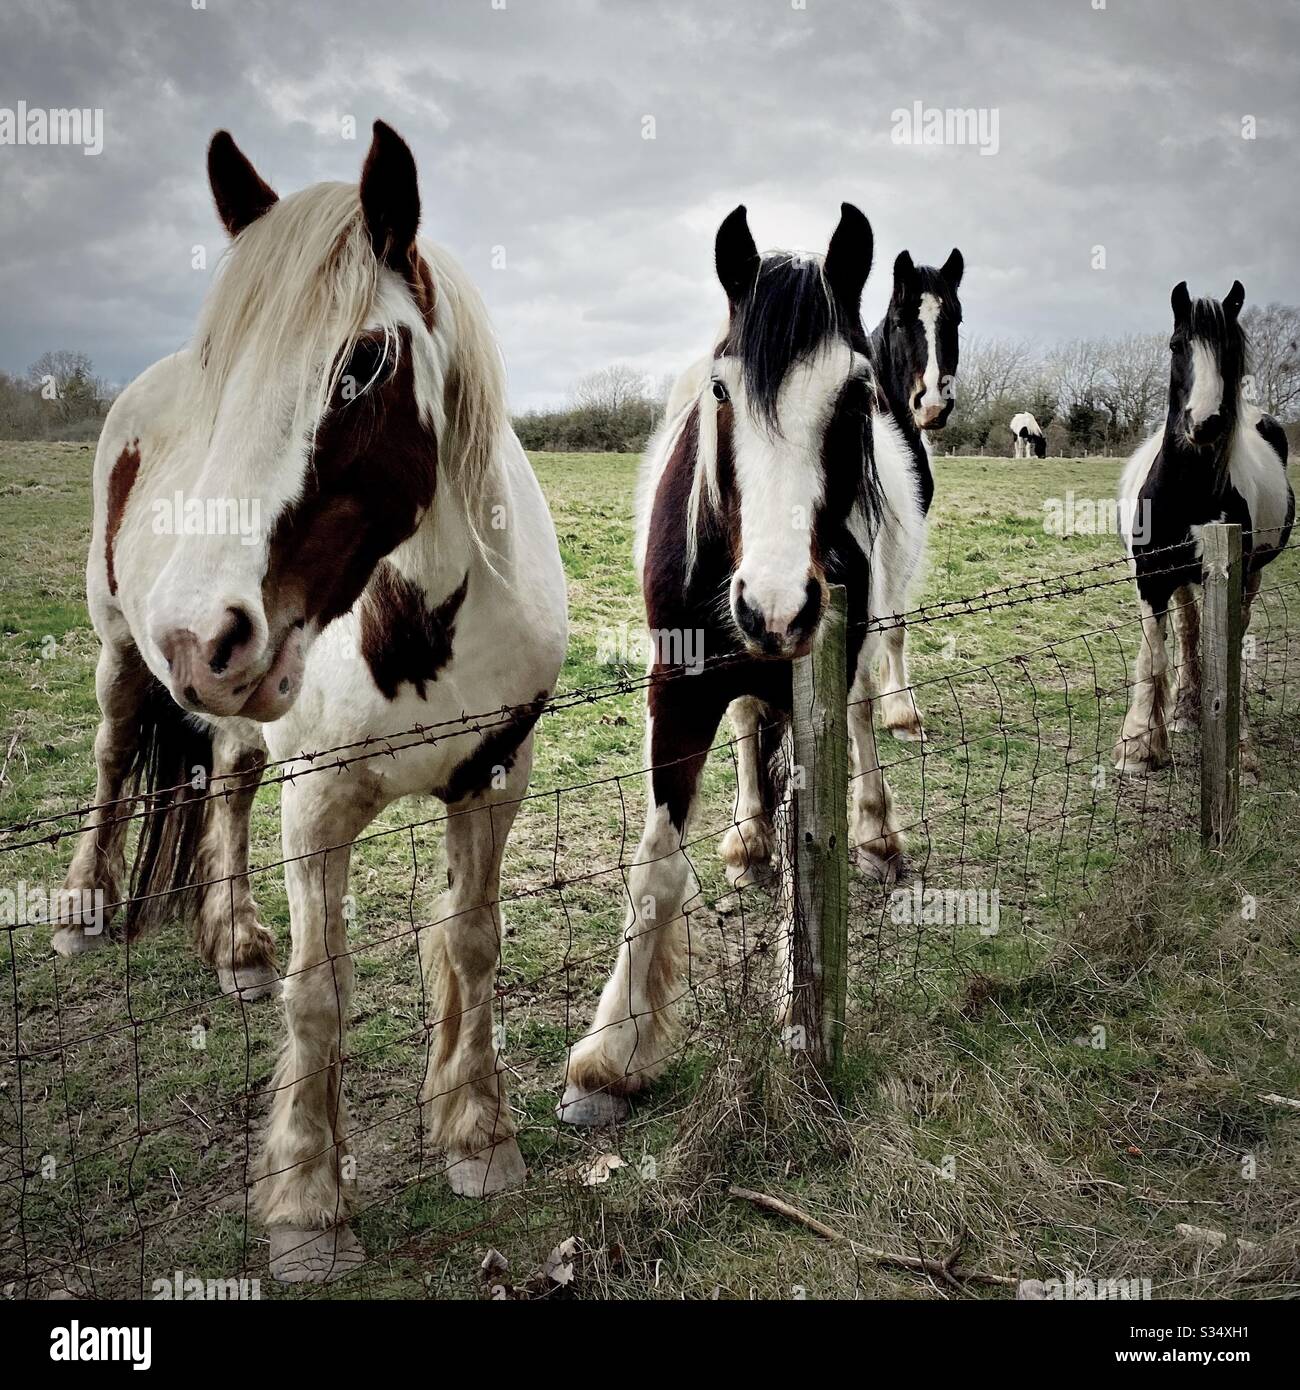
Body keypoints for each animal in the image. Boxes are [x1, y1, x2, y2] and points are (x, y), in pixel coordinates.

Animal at [52, 122, 568, 1280]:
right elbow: (320, 988)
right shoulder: (320, 805)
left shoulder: (494, 778)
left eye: (362, 361)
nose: (198, 638)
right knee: (112, 757)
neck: (420, 621)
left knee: (229, 783)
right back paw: (84, 904)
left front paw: (477, 1135)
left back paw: (234, 940)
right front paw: (307, 1204)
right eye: (223, 370)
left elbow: (471, 942)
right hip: (119, 650)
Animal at [558, 204, 924, 1126]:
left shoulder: (817, 673)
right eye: (722, 393)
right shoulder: (678, 689)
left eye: (856, 393)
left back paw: (876, 833)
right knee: (752, 728)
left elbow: (810, 838)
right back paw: (749, 836)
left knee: (859, 722)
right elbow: (655, 865)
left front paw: (800, 1006)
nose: (776, 605)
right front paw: (608, 1058)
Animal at [1114, 280, 1293, 776]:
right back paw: (1182, 712)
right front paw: (1140, 745)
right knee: (1189, 629)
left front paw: (1240, 745)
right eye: (1178, 346)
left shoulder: (1232, 574)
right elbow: (1155, 654)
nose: (1205, 423)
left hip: (1250, 575)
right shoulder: (1151, 578)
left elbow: (1229, 652)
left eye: (1230, 352)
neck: (1186, 490)